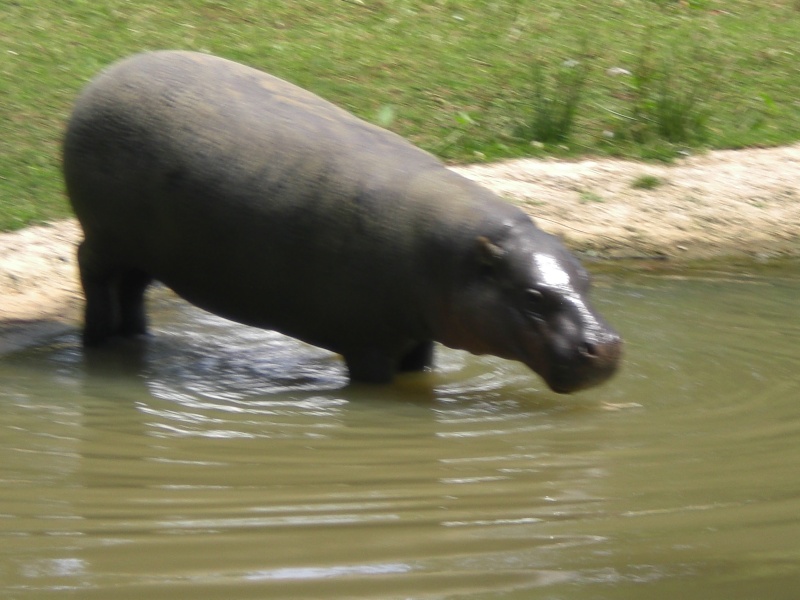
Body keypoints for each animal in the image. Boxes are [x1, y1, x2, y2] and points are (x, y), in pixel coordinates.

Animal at [64, 49, 624, 392]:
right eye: (532, 297)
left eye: (587, 280)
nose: (607, 346)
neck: (459, 256)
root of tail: (104, 77)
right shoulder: (368, 344)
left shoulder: (418, 334)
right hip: (104, 238)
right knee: (93, 276)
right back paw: (98, 344)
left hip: (142, 249)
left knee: (132, 290)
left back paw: (136, 340)